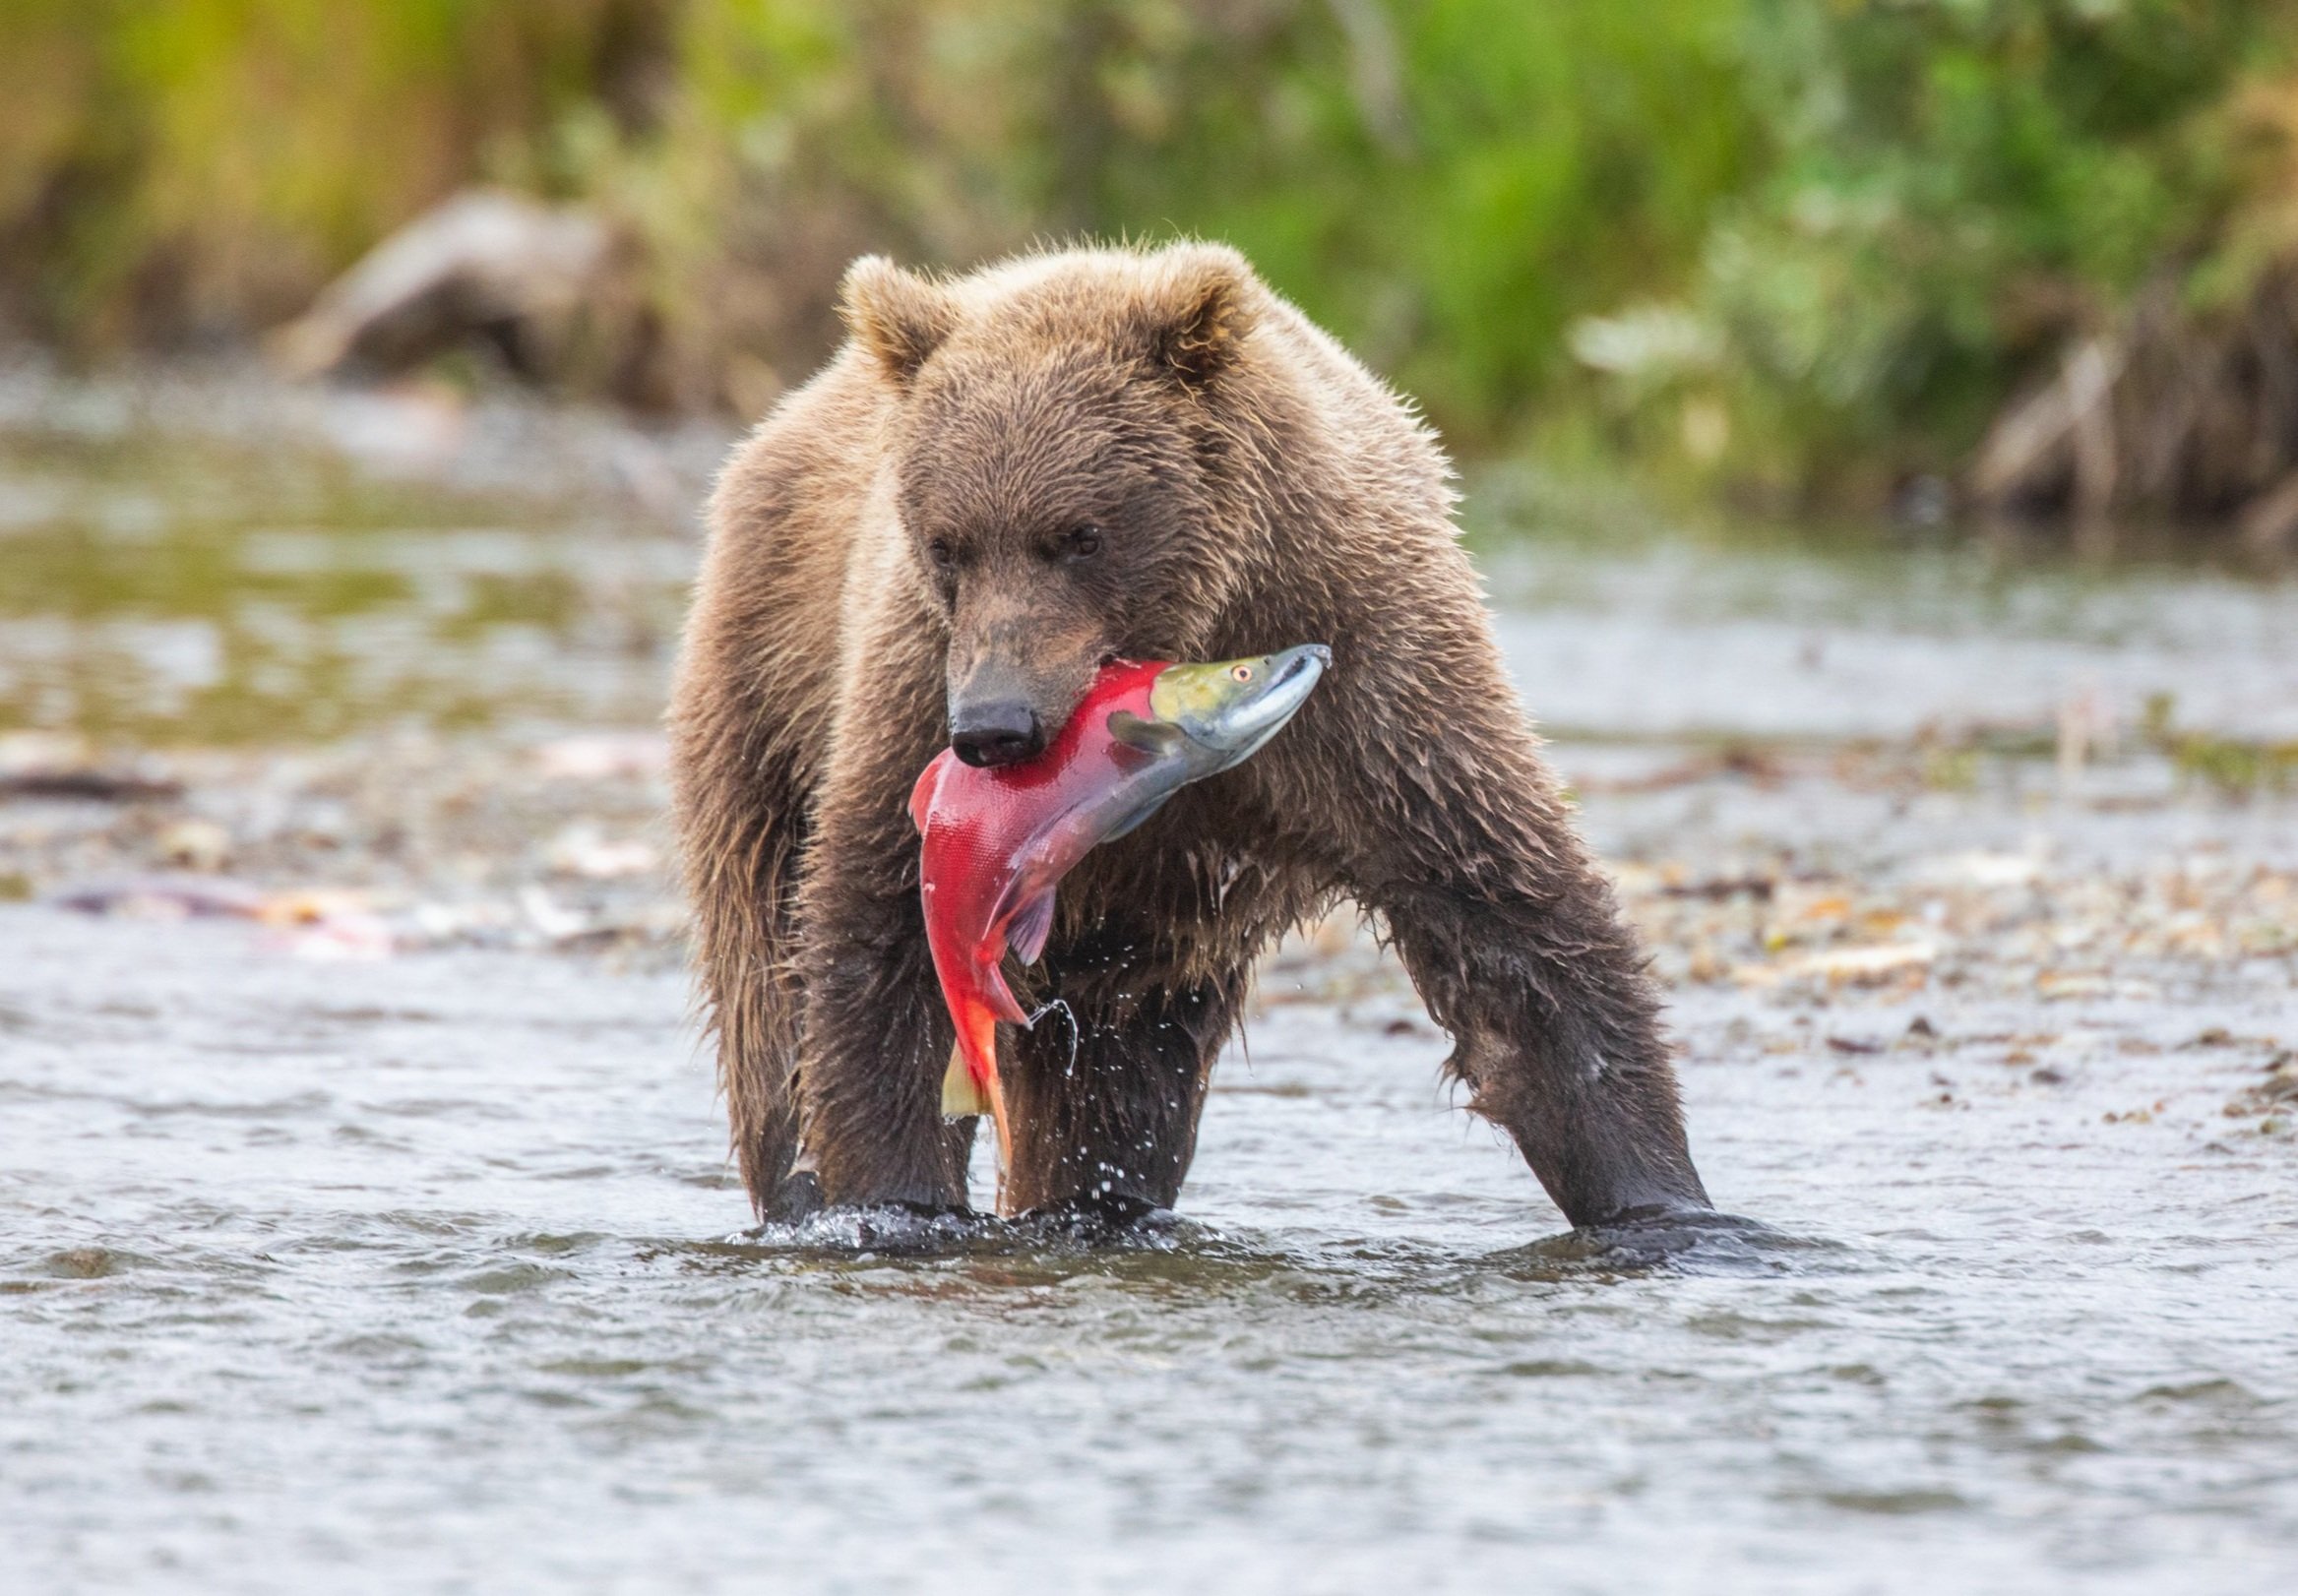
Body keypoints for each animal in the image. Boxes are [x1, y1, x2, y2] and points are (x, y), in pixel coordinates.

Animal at [666, 243, 1709, 1230]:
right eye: (946, 543)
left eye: (1078, 534)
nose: (994, 728)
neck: (1195, 622)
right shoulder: (910, 687)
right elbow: (874, 945)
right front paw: (890, 1199)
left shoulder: (1374, 682)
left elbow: (1510, 928)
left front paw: (1665, 1205)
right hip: (767, 691)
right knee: (766, 971)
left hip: (1134, 925)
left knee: (1115, 1075)